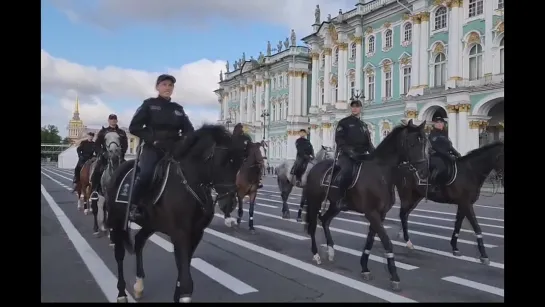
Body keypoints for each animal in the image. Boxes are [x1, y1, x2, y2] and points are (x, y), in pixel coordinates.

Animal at [105, 125, 240, 304]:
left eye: (239, 163)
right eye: (222, 161)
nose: (229, 204)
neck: (189, 183)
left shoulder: (195, 234)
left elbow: (183, 270)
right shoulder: (180, 234)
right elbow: (186, 279)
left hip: (151, 223)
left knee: (139, 241)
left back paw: (139, 285)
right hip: (117, 221)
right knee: (119, 254)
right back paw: (121, 293)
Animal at [304, 119, 428, 292]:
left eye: (424, 142)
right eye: (411, 143)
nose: (423, 172)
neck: (381, 174)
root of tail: (315, 166)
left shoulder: (380, 215)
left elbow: (370, 241)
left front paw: (364, 267)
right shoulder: (372, 213)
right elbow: (387, 242)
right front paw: (394, 276)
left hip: (336, 205)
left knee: (325, 220)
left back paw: (330, 250)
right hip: (315, 201)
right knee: (313, 226)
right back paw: (316, 254)